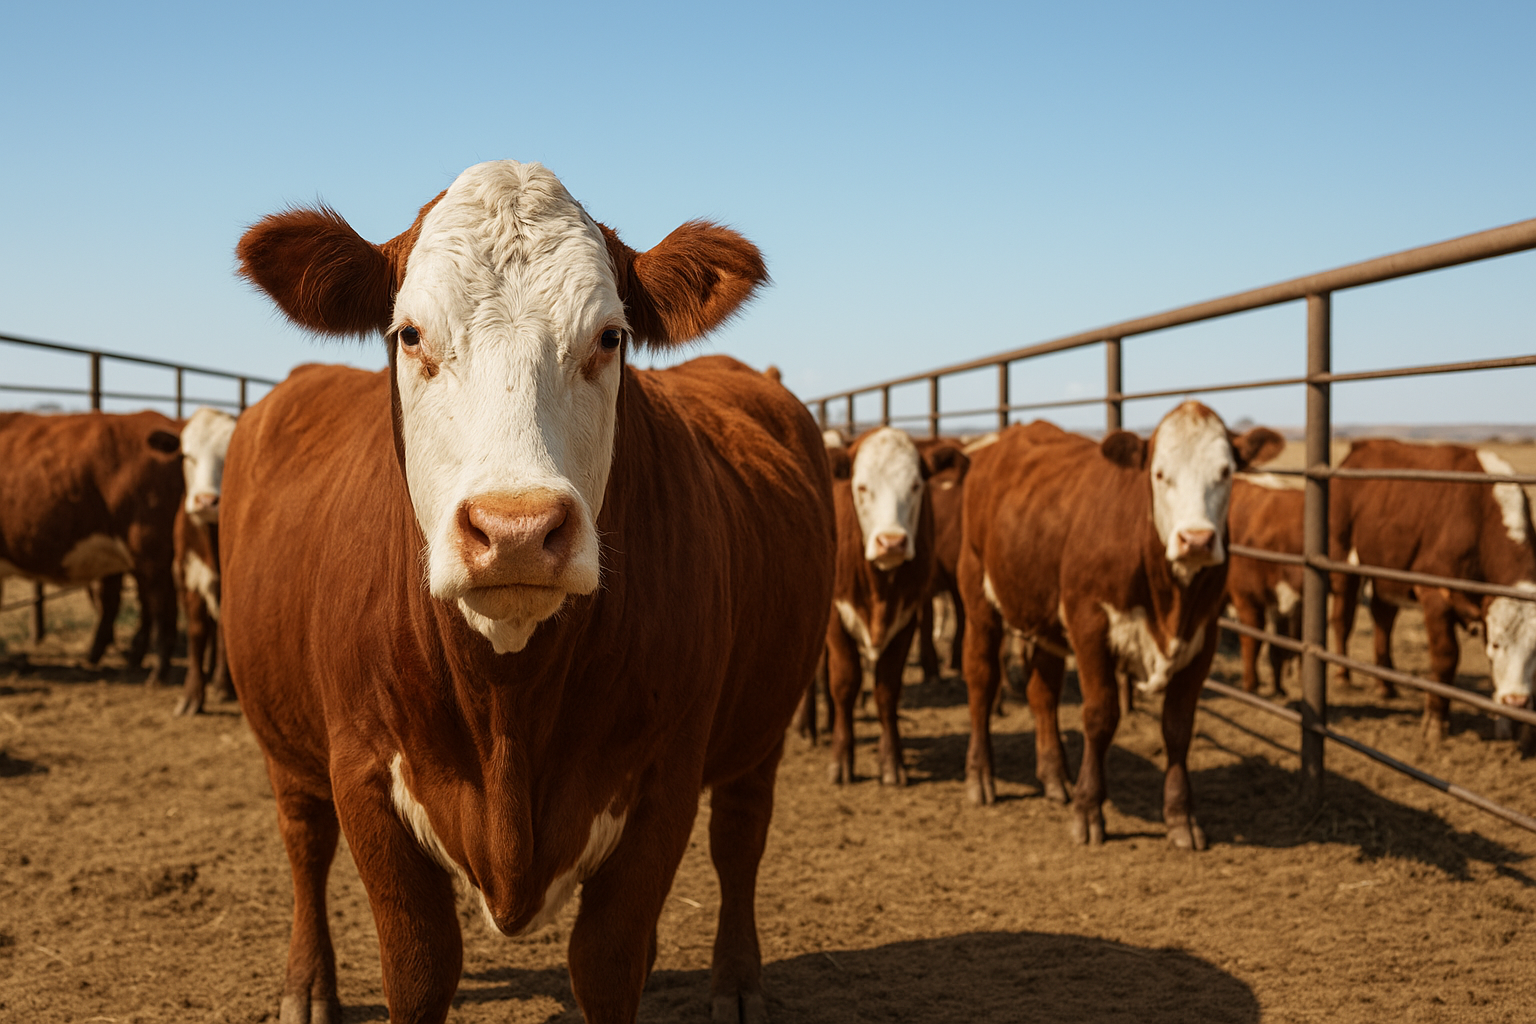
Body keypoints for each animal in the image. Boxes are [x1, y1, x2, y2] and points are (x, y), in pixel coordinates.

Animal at [224, 160, 834, 1024]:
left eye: (610, 337)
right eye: (410, 334)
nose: (514, 529)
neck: (506, 701)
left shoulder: (667, 775)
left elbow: (607, 961)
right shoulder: (362, 771)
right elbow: (419, 967)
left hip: (761, 725)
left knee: (741, 837)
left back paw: (739, 983)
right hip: (286, 741)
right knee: (305, 840)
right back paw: (308, 985)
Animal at [820, 427, 937, 785]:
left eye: (915, 485)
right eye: (861, 487)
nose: (892, 542)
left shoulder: (908, 615)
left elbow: (887, 689)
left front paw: (892, 762)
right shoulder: (835, 616)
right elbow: (845, 682)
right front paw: (841, 760)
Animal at [957, 405, 1283, 849]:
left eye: (1225, 472)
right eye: (1159, 473)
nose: (1197, 539)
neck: (1169, 599)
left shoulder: (1204, 636)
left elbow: (1178, 726)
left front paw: (1181, 817)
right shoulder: (1089, 624)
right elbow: (1101, 716)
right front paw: (1088, 810)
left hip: (1044, 617)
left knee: (1042, 693)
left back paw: (1055, 778)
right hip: (979, 598)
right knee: (981, 679)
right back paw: (980, 778)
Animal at [1329, 439, 1536, 739]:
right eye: (1497, 643)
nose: (1516, 701)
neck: (1480, 517)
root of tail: (1363, 446)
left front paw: (1505, 723)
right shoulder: (1436, 596)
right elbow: (1446, 657)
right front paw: (1436, 721)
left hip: (1387, 570)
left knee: (1383, 620)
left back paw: (1386, 685)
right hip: (1343, 558)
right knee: (1342, 620)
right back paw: (1343, 676)